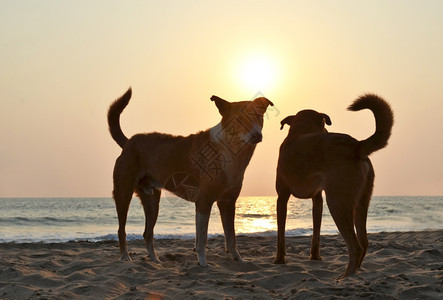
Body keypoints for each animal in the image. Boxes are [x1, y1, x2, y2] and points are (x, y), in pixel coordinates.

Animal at [107, 88, 274, 266]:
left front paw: (238, 259)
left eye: (258, 116)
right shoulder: (204, 201)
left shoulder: (228, 202)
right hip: (123, 193)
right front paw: (202, 262)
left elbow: (231, 236)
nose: (257, 135)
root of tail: (129, 142)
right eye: (239, 119)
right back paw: (125, 257)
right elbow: (203, 238)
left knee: (147, 233)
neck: (231, 150)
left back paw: (154, 259)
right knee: (121, 230)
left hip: (152, 199)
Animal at [274, 94, 396, 278]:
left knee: (355, 247)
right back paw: (356, 272)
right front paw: (315, 257)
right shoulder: (317, 199)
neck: (301, 131)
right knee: (364, 241)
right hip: (361, 202)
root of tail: (356, 145)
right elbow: (316, 234)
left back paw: (346, 277)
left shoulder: (282, 197)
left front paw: (279, 259)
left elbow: (281, 234)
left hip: (338, 202)